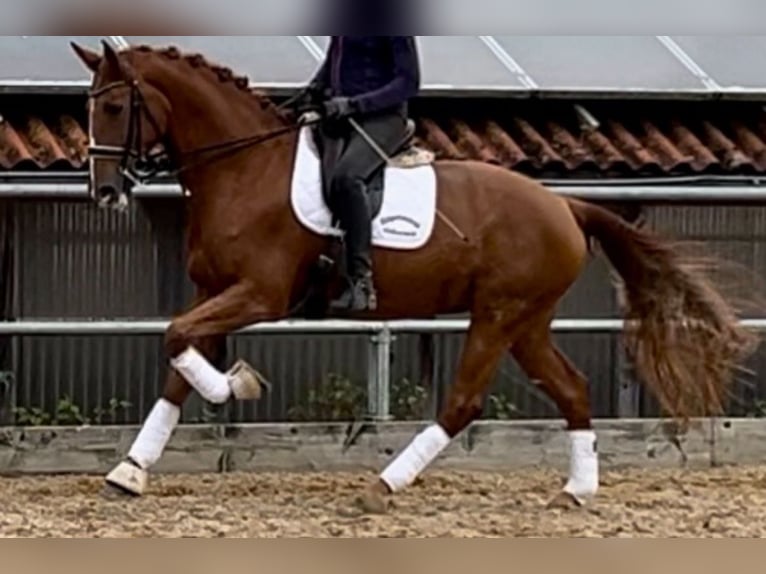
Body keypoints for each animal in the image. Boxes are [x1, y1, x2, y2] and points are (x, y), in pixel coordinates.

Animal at [75, 42, 760, 516]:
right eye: (91, 107)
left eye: (115, 106)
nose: (105, 193)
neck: (245, 167)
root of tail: (564, 205)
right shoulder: (212, 293)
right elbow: (177, 363)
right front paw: (130, 470)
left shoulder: (258, 295)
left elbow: (175, 338)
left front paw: (239, 383)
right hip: (527, 320)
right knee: (572, 389)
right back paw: (575, 491)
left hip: (498, 315)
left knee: (463, 403)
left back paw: (382, 486)